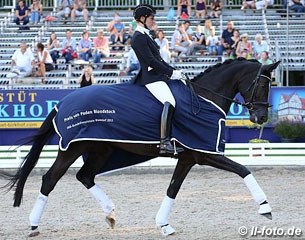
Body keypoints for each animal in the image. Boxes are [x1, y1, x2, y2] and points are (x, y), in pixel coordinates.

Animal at [1, 58, 280, 236]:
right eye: (262, 85)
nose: (261, 118)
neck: (203, 98)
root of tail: (62, 103)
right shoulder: (204, 153)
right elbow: (244, 170)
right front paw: (265, 207)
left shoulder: (189, 157)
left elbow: (173, 188)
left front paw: (164, 225)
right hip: (72, 148)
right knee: (50, 179)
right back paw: (34, 225)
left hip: (100, 149)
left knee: (85, 176)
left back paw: (110, 214)